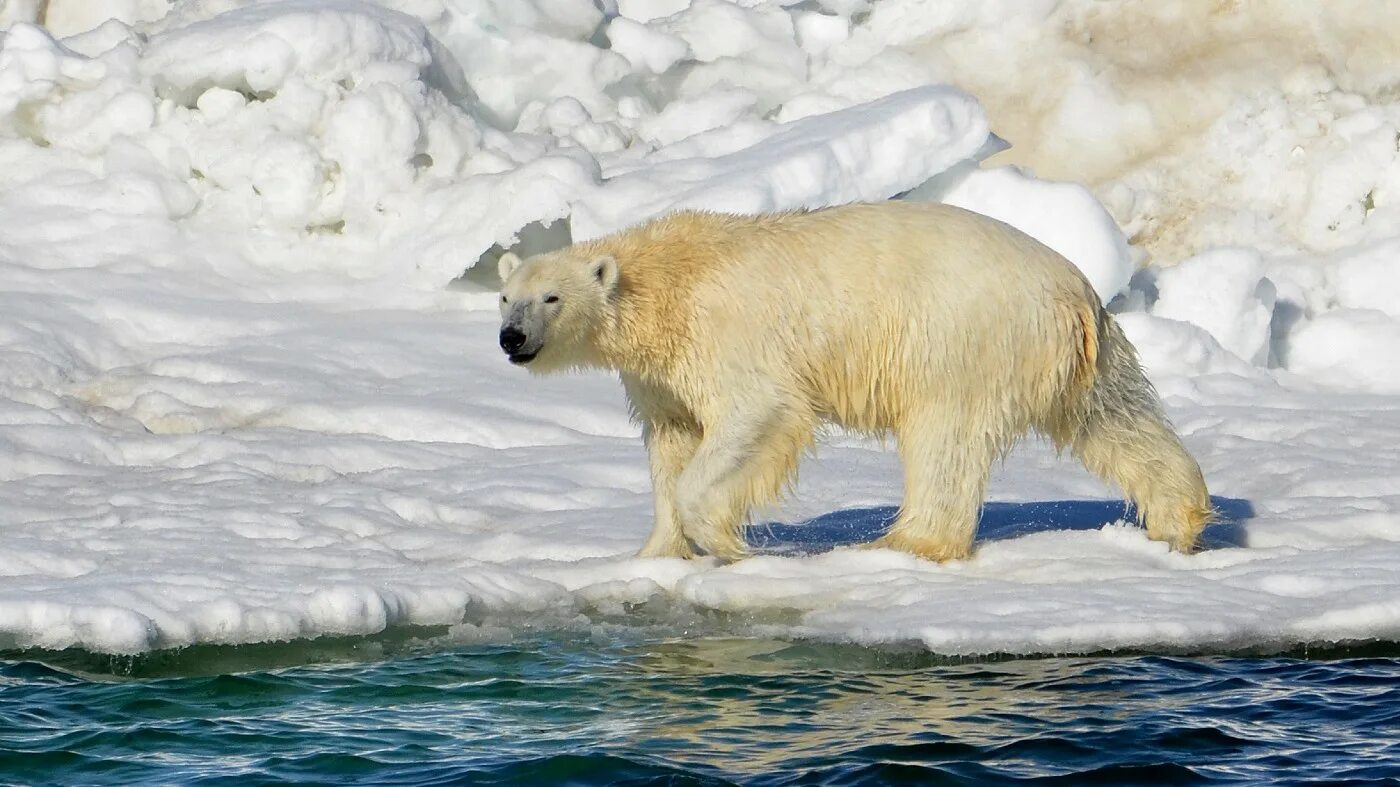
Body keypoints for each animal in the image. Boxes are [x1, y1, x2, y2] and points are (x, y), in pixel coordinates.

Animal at [495, 200, 1215, 557]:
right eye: (506, 297)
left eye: (551, 297)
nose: (512, 338)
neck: (670, 279)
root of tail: (1074, 292)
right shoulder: (662, 374)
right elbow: (672, 441)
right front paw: (656, 553)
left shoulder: (728, 335)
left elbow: (758, 414)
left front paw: (726, 542)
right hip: (1081, 355)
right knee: (1116, 419)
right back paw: (1177, 521)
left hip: (962, 338)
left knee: (944, 439)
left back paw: (904, 541)